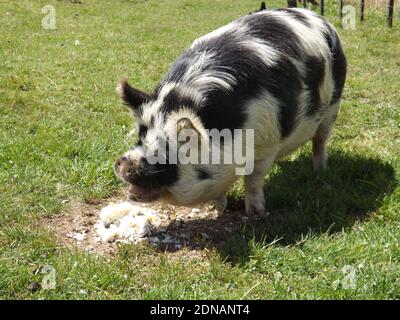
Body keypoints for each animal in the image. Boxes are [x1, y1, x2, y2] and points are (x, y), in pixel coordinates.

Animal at [114, 7, 346, 216]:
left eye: (164, 154)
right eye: (141, 137)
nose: (121, 162)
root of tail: (315, 15)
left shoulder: (267, 142)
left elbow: (253, 180)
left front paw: (256, 214)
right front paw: (217, 209)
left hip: (333, 105)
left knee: (320, 140)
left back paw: (320, 170)